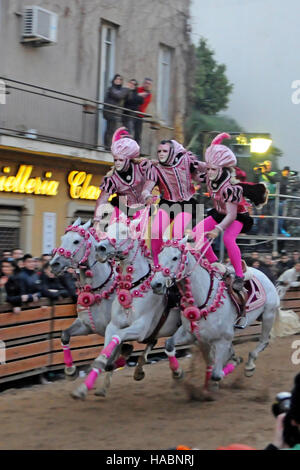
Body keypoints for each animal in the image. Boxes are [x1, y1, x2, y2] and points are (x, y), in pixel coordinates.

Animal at [151, 239, 282, 390]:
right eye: (158, 256)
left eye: (175, 257)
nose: (156, 284)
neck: (204, 299)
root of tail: (266, 274)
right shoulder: (189, 333)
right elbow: (169, 344)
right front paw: (177, 372)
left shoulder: (222, 340)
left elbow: (217, 374)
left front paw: (227, 368)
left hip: (268, 315)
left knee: (264, 341)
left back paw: (249, 366)